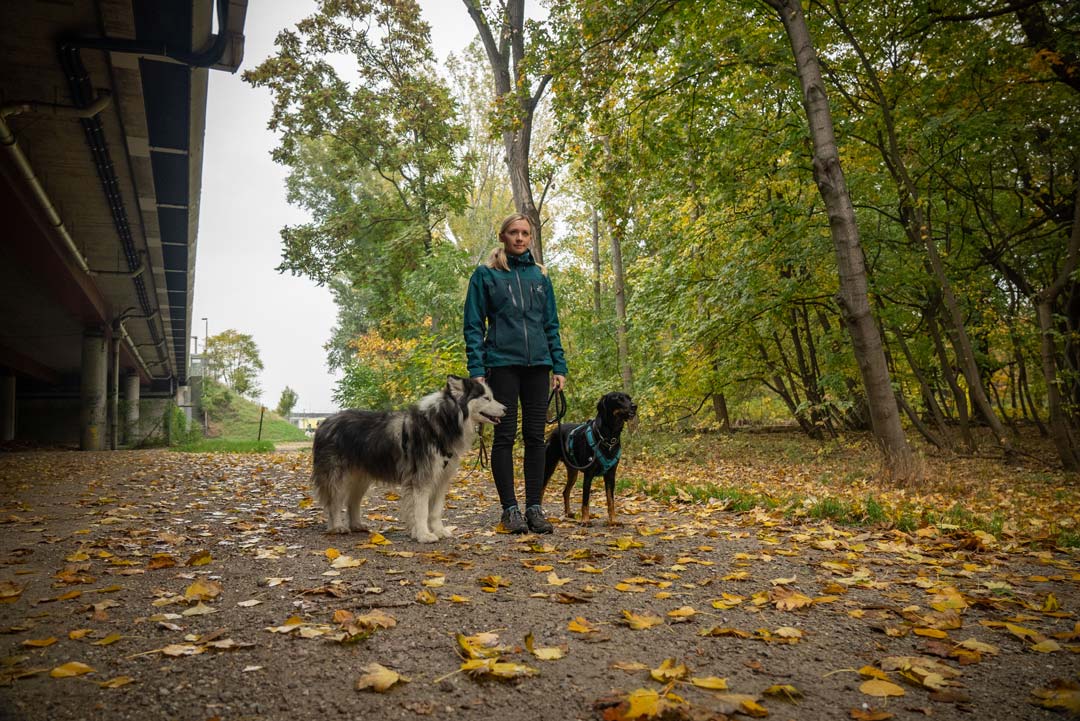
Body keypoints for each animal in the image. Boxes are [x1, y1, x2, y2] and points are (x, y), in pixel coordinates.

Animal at [308, 377, 501, 539]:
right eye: (486, 398)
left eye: (491, 397)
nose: (505, 409)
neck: (440, 424)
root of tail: (324, 422)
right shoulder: (421, 479)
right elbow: (421, 511)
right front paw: (424, 535)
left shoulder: (441, 480)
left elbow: (435, 511)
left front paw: (439, 531)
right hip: (337, 476)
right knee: (334, 502)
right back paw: (337, 527)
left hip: (361, 478)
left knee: (352, 501)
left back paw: (356, 524)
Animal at [537, 395, 630, 524]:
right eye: (618, 399)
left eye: (629, 398)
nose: (634, 406)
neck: (607, 437)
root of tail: (555, 430)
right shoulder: (588, 474)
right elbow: (585, 500)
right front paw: (585, 520)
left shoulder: (611, 475)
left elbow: (611, 500)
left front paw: (614, 520)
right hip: (549, 465)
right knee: (542, 488)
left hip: (572, 471)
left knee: (565, 491)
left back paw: (568, 513)